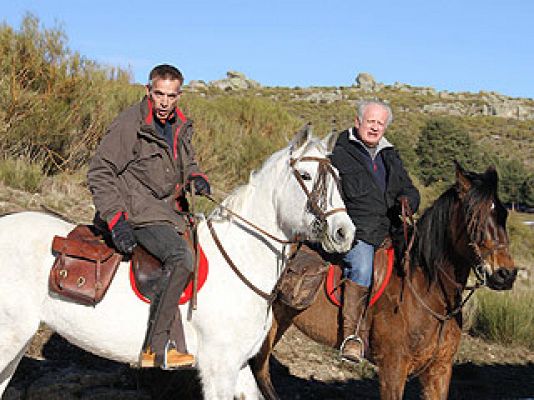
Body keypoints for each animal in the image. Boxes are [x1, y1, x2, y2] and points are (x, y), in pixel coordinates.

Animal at [254, 163, 520, 400]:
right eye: (473, 215)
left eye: (504, 214)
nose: (506, 274)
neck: (428, 293)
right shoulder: (393, 368)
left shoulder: (439, 371)